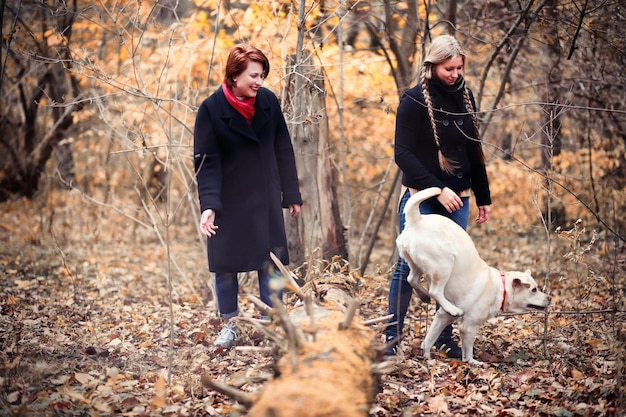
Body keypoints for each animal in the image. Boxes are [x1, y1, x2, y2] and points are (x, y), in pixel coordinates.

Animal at [398, 187, 548, 362]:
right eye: (533, 290)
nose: (549, 298)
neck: (501, 287)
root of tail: (417, 220)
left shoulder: (442, 317)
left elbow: (429, 339)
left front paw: (427, 358)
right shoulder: (468, 327)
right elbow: (467, 351)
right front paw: (473, 362)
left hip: (415, 264)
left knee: (411, 279)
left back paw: (423, 295)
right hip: (444, 264)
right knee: (435, 291)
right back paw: (449, 306)